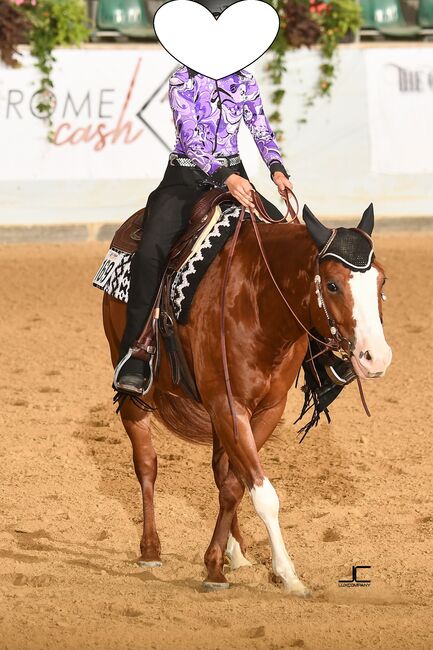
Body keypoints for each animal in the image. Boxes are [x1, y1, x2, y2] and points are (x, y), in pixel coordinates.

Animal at [102, 200, 392, 596]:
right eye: (332, 284)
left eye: (382, 281)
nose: (376, 357)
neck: (259, 304)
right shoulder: (229, 405)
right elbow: (264, 495)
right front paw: (285, 574)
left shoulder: (265, 408)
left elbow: (236, 485)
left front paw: (221, 561)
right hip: (136, 394)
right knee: (147, 464)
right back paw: (150, 549)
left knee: (221, 470)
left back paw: (235, 552)